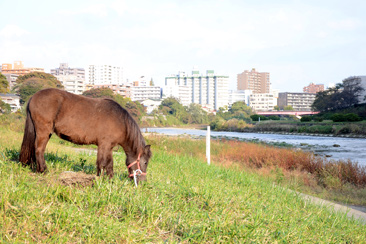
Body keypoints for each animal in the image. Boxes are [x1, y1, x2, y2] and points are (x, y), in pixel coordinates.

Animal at [19, 88, 151, 185]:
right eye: (145, 162)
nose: (143, 182)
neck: (120, 121)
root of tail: (33, 97)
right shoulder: (105, 145)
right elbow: (104, 162)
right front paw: (104, 179)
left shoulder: (108, 147)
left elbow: (107, 163)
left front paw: (107, 178)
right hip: (44, 132)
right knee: (39, 150)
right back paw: (43, 170)